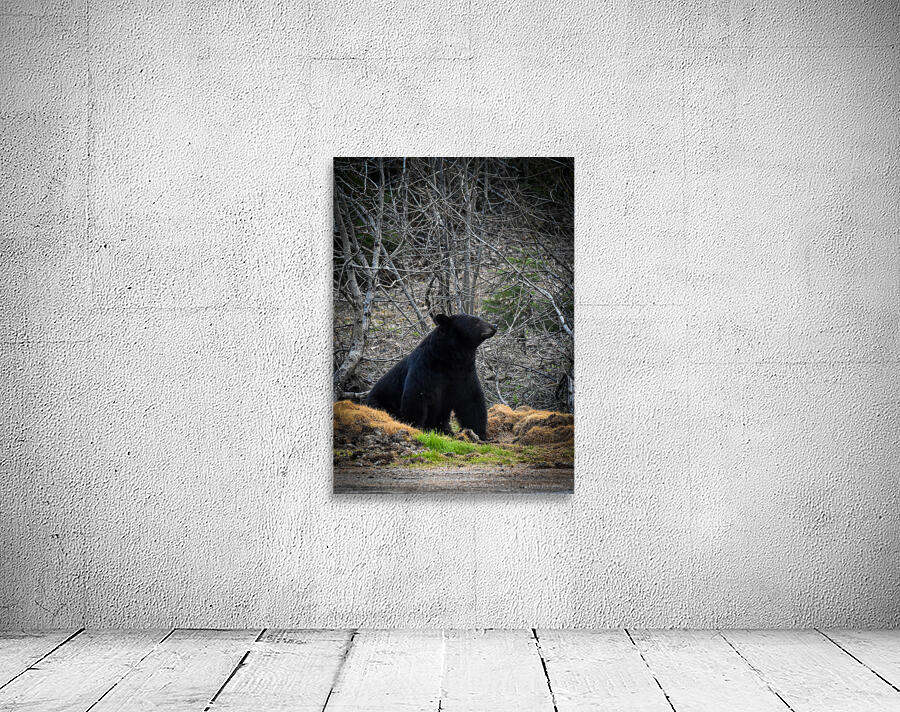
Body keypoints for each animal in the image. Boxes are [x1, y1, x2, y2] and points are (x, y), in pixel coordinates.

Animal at [366, 313, 497, 440]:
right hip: (380, 401)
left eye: (478, 318)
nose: (494, 326)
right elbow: (416, 397)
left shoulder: (465, 373)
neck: (451, 361)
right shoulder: (425, 369)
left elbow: (471, 400)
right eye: (475, 321)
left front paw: (479, 434)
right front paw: (415, 427)